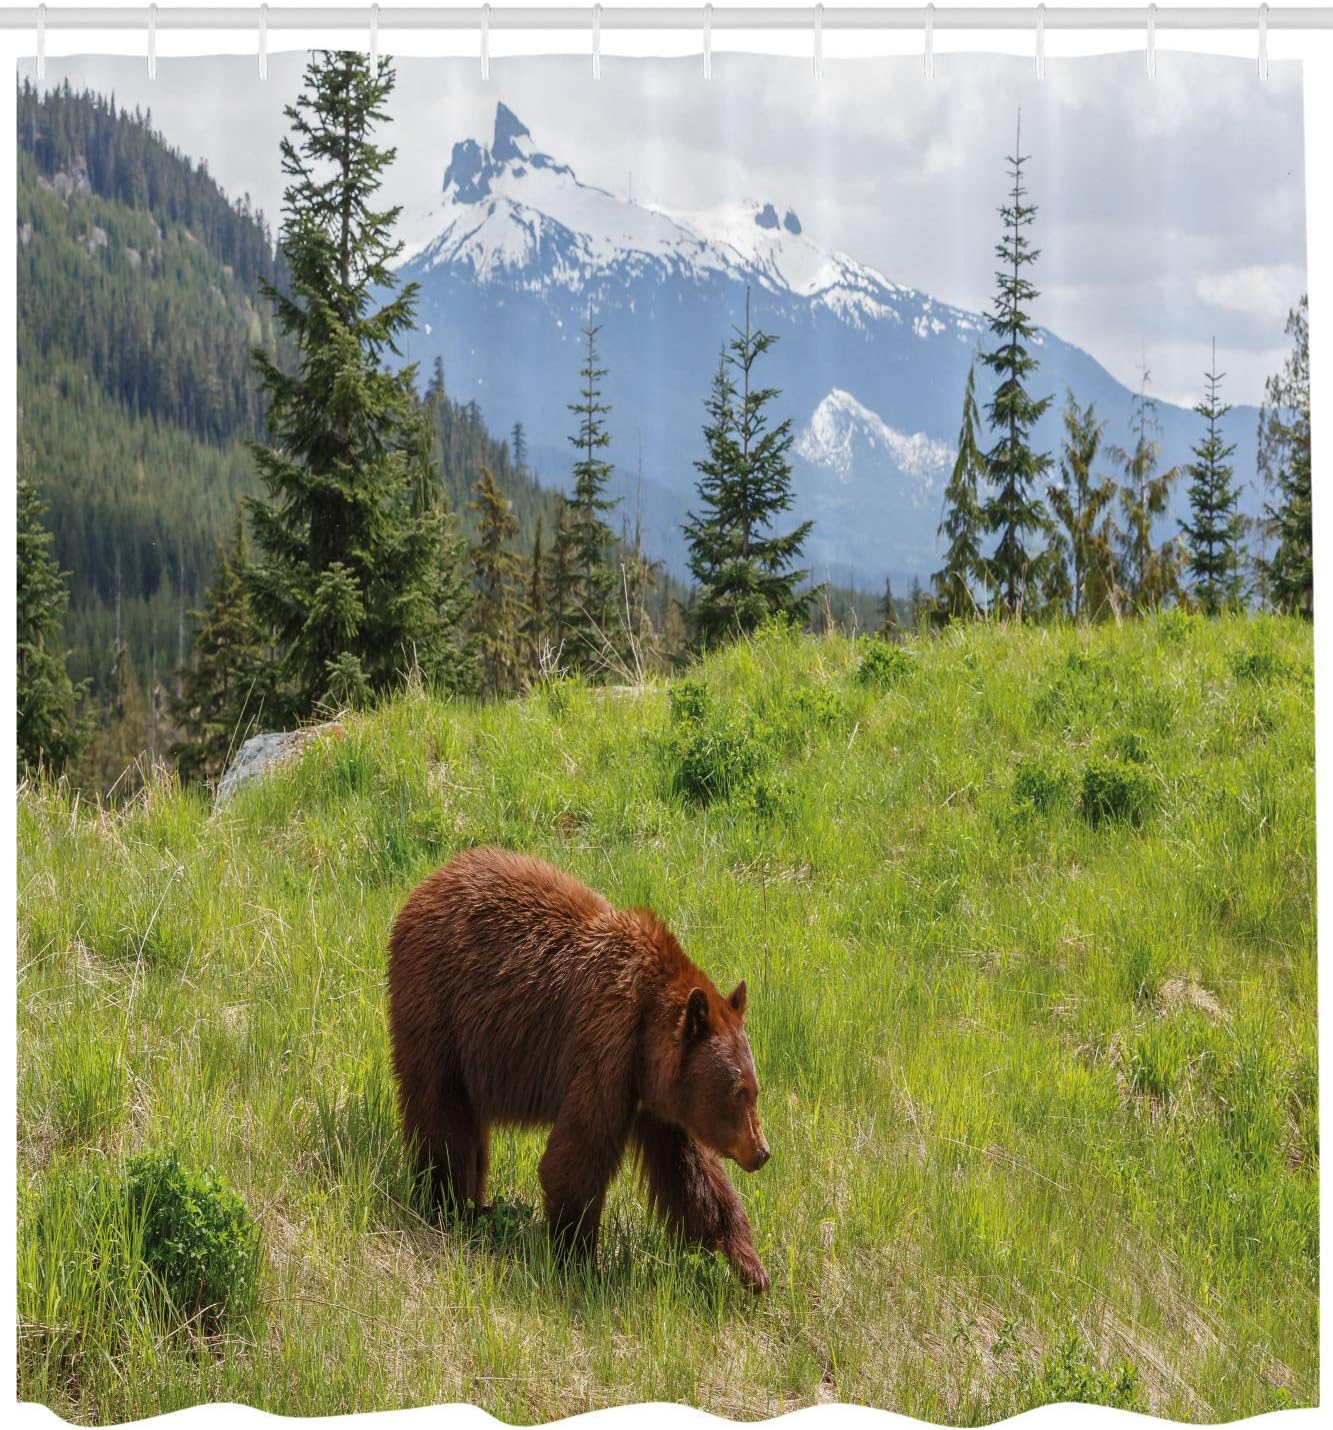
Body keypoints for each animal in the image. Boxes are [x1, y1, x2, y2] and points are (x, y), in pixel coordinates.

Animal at [386, 845, 771, 1291]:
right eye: (738, 1092)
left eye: (754, 1089)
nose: (762, 1152)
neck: (647, 1032)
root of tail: (425, 885)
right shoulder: (605, 1047)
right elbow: (576, 1156)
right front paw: (580, 1263)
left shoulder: (658, 1100)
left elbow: (691, 1174)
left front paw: (750, 1265)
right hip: (438, 1009)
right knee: (441, 1112)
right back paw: (444, 1204)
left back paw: (474, 1205)